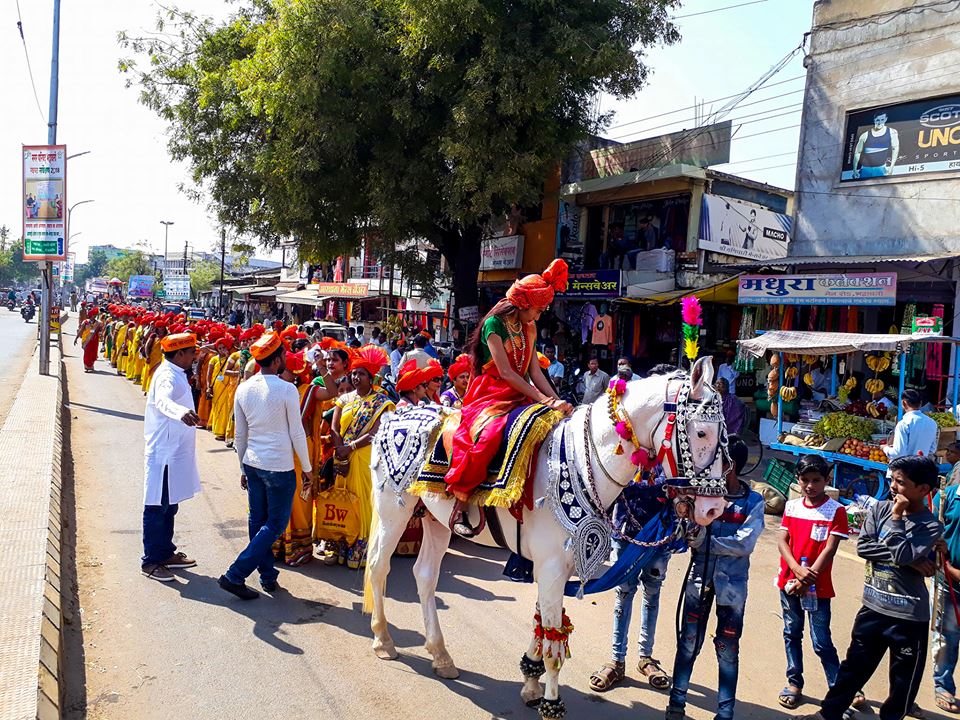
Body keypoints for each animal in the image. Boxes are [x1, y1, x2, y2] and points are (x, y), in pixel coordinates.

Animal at [368, 358, 728, 716]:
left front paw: (530, 682)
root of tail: (393, 415)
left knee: (425, 575)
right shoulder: (552, 567)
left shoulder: (555, 567)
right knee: (378, 566)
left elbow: (542, 622)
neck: (585, 461)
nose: (714, 508)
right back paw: (383, 640)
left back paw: (441, 656)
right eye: (700, 432)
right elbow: (555, 645)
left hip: (435, 519)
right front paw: (550, 704)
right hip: (392, 509)